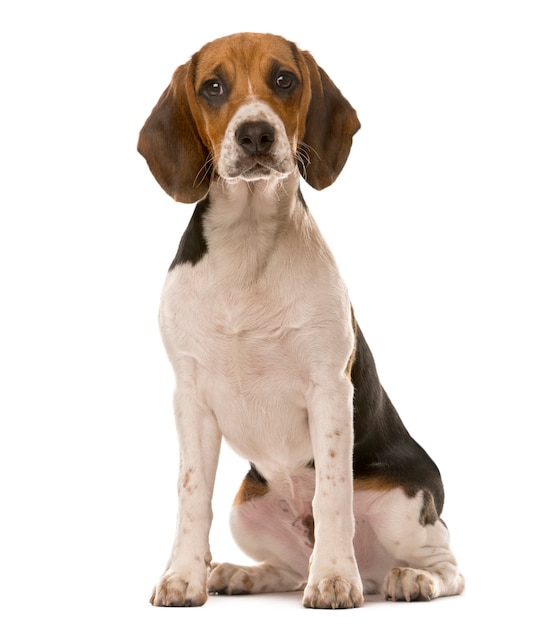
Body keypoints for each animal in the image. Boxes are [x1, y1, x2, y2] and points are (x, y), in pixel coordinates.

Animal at [139, 31, 466, 608]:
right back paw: (240, 573)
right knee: (289, 568)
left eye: (284, 79)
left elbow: (332, 495)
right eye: (212, 87)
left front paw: (334, 579)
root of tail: (376, 572)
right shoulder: (190, 398)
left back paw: (410, 579)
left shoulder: (329, 389)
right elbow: (191, 495)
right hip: (246, 509)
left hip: (405, 506)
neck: (247, 243)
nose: (255, 134)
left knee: (447, 565)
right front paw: (183, 576)